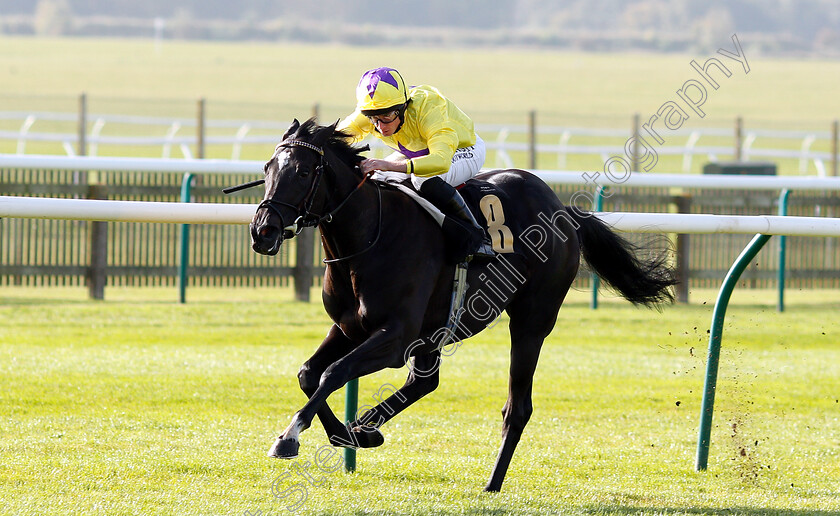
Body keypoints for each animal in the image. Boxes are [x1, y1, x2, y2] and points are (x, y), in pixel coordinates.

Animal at [244, 118, 676, 492]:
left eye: (303, 173)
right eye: (267, 167)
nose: (263, 231)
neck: (369, 235)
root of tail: (563, 210)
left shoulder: (395, 336)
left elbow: (334, 373)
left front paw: (290, 437)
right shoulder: (350, 328)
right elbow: (309, 374)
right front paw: (346, 433)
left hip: (532, 320)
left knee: (517, 407)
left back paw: (492, 483)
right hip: (438, 330)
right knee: (424, 382)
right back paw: (366, 426)